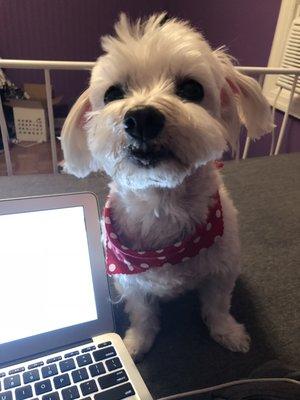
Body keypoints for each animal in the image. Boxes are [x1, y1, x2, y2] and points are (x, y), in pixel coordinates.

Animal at [61, 14, 272, 360]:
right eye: (112, 94)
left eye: (191, 88)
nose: (142, 118)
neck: (161, 203)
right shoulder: (129, 282)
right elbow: (142, 314)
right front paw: (136, 342)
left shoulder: (222, 270)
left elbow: (217, 306)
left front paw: (228, 333)